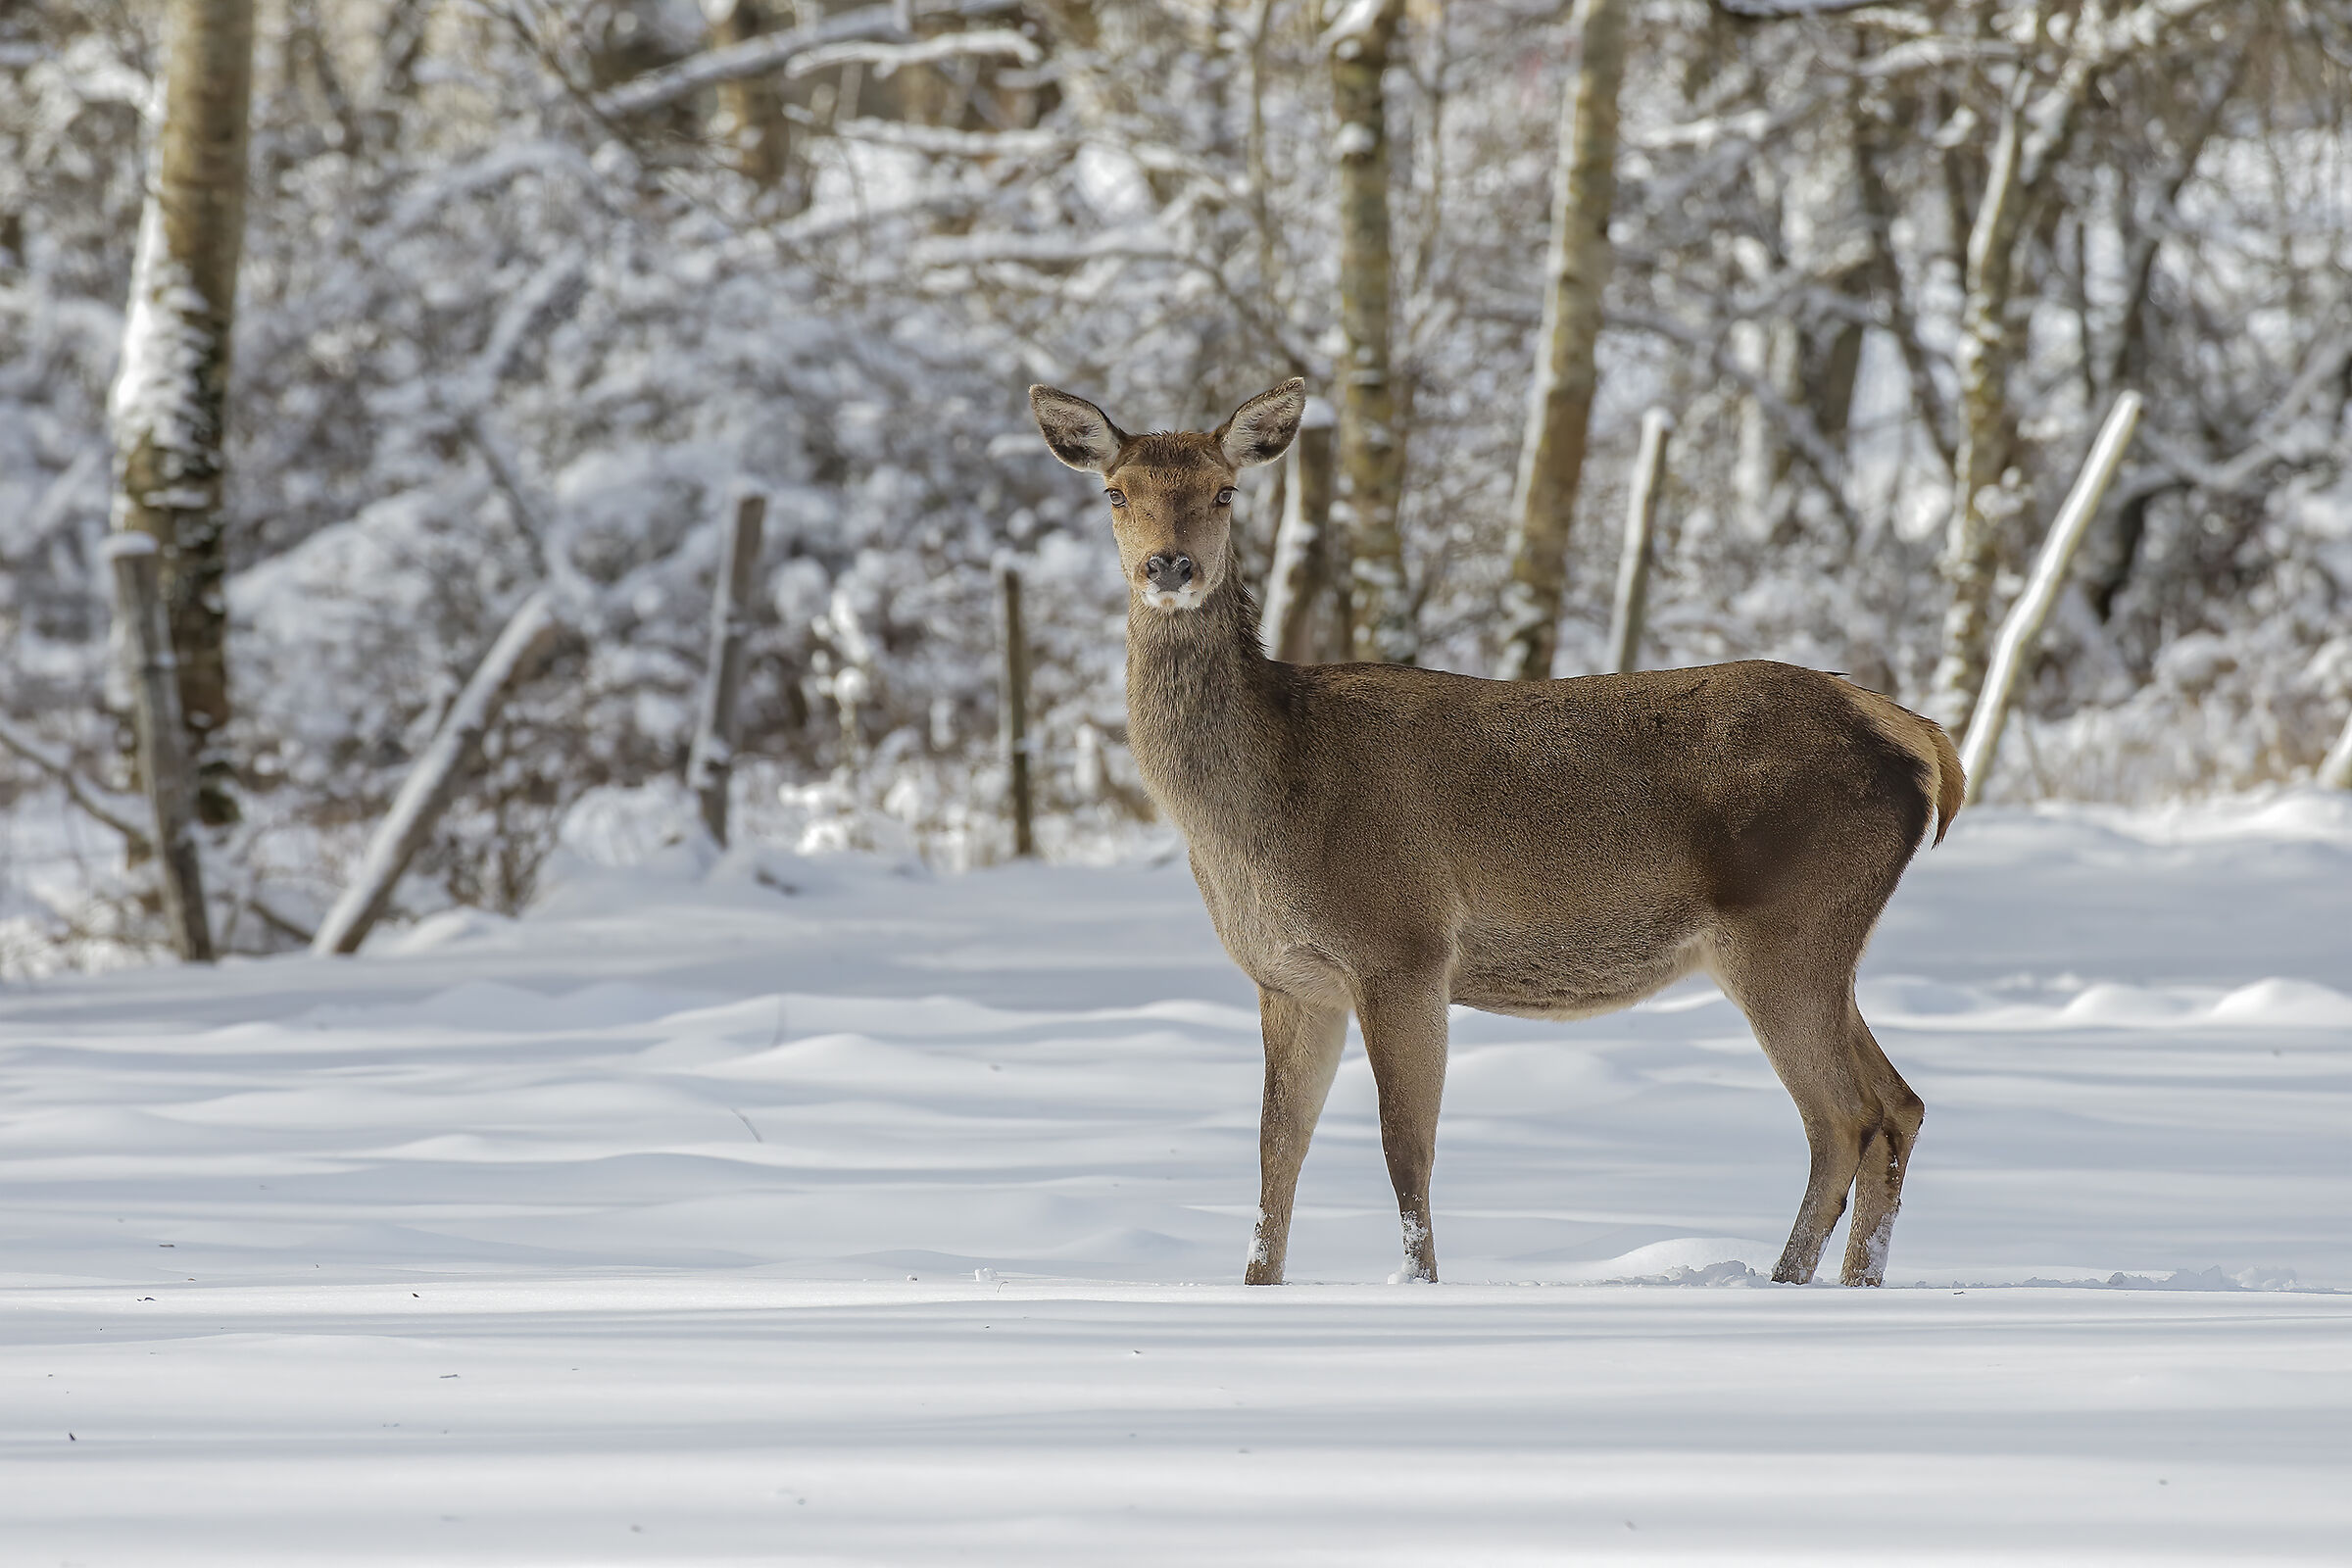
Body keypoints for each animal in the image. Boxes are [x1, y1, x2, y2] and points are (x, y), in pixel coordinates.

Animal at [1029, 376, 1963, 1288]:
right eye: (1116, 492)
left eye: (1224, 491)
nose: (1169, 564)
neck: (1256, 815)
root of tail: (1912, 736)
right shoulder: (1289, 978)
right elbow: (1275, 1152)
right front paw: (1259, 1286)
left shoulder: (1402, 945)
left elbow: (1404, 1149)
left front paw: (1421, 1286)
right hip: (1820, 944)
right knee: (1900, 1105)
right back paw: (1846, 1283)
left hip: (1788, 928)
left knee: (1844, 1116)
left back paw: (1787, 1282)